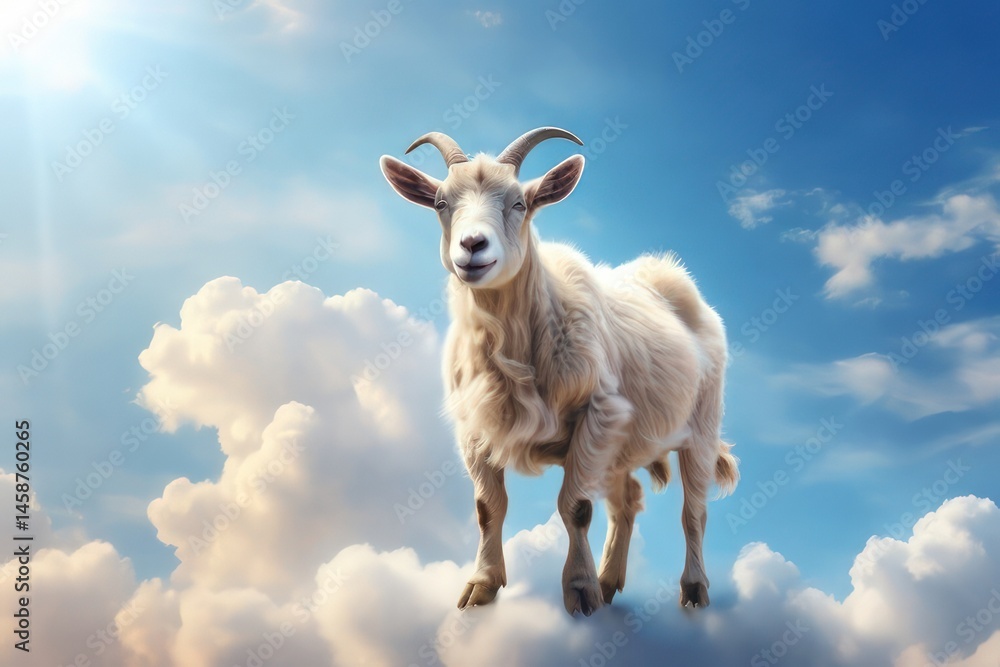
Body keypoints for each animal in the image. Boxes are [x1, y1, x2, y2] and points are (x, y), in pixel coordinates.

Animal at [380, 127, 738, 616]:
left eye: (519, 203)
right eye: (439, 203)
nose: (472, 246)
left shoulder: (597, 413)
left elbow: (576, 507)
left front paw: (580, 591)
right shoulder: (474, 429)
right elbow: (488, 508)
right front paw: (482, 585)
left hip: (701, 423)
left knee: (694, 510)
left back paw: (694, 590)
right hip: (622, 443)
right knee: (627, 502)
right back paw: (610, 581)